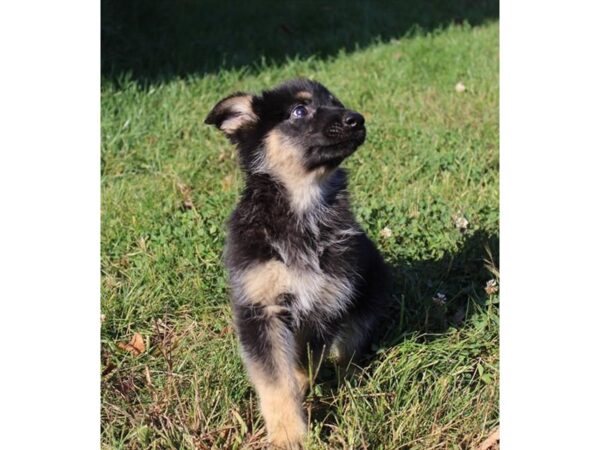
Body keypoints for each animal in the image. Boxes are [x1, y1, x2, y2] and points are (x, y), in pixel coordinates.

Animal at [206, 79, 392, 448]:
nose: (357, 119)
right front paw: (288, 434)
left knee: (350, 349)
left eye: (336, 103)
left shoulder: (326, 303)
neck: (303, 207)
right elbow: (276, 381)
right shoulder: (261, 308)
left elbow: (304, 362)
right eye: (299, 111)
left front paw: (302, 405)